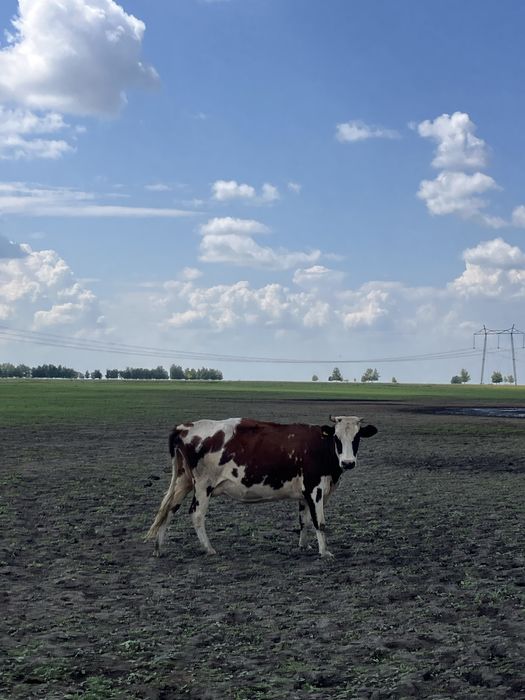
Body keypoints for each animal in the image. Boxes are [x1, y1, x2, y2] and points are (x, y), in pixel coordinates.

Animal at [145, 415, 377, 558]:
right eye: (337, 438)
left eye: (356, 437)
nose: (348, 462)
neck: (321, 447)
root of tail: (185, 427)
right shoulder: (315, 489)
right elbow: (319, 522)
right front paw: (325, 552)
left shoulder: (304, 493)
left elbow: (304, 521)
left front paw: (303, 546)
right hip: (203, 486)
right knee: (196, 514)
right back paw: (209, 549)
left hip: (183, 481)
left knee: (169, 508)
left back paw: (158, 547)